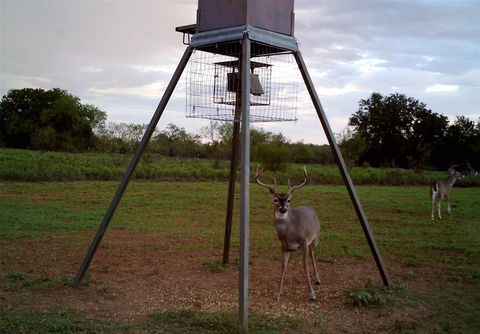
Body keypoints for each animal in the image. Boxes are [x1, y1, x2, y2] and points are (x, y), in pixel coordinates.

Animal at [253, 166, 320, 302]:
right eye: (275, 199)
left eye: (289, 200)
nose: (283, 208)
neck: (291, 232)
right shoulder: (285, 246)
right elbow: (283, 266)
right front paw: (277, 293)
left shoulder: (304, 241)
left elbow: (305, 266)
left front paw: (312, 294)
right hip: (295, 248)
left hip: (315, 238)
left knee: (312, 254)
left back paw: (317, 280)